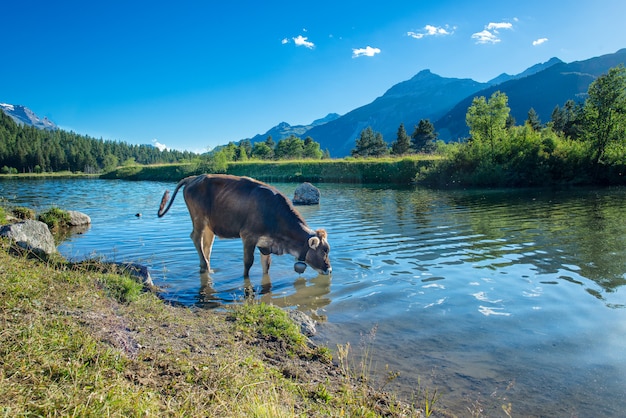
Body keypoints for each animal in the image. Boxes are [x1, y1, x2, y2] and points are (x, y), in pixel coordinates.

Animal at [157, 174, 332, 278]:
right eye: (324, 251)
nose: (329, 269)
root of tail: (194, 177)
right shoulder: (248, 236)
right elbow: (248, 263)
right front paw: (245, 280)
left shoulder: (265, 243)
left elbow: (266, 266)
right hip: (199, 218)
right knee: (195, 237)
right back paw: (205, 265)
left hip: (210, 225)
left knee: (206, 245)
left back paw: (206, 267)